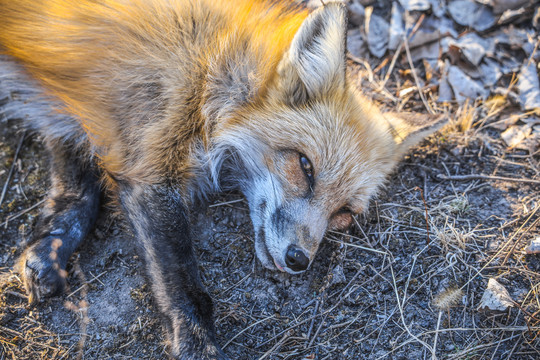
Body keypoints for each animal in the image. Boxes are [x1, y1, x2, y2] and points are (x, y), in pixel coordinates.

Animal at [1, 0, 448, 358]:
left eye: (344, 214)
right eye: (305, 166)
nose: (298, 261)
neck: (212, 77)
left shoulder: (77, 114)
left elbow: (74, 186)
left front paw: (48, 248)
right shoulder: (147, 163)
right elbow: (182, 279)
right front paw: (197, 341)